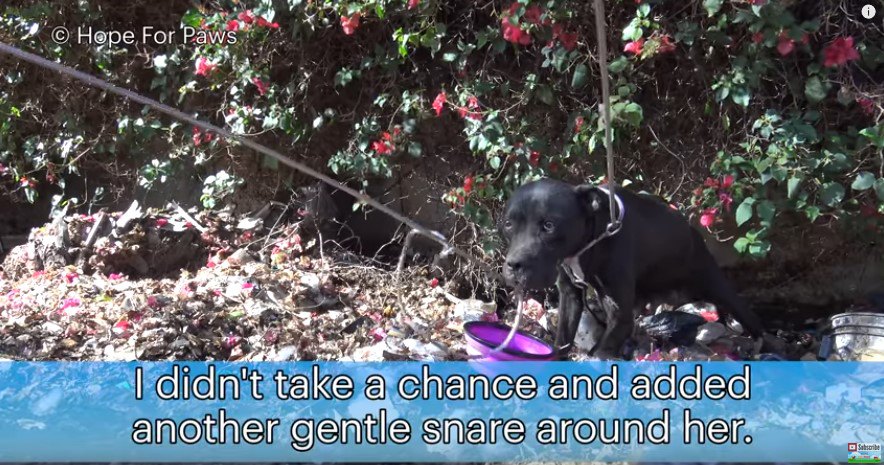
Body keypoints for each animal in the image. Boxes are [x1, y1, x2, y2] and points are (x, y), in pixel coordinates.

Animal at [500, 178, 764, 358]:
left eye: (549, 225)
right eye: (508, 224)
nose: (514, 265)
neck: (594, 238)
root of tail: (694, 234)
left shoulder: (620, 313)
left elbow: (600, 352)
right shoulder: (570, 297)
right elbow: (562, 340)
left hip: (719, 289)